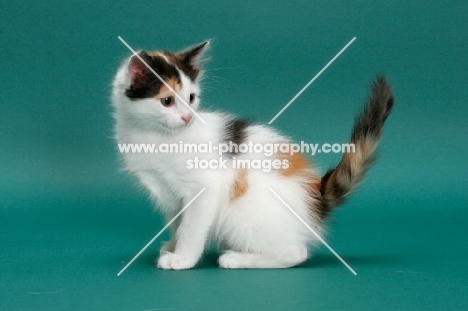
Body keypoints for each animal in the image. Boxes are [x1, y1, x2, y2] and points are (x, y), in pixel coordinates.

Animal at [111, 41, 394, 270]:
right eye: (167, 101)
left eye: (191, 98)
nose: (188, 118)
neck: (155, 136)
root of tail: (317, 196)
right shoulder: (168, 194)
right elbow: (177, 221)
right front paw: (172, 245)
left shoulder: (204, 188)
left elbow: (191, 228)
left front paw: (182, 259)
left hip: (243, 216)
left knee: (296, 253)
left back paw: (236, 258)